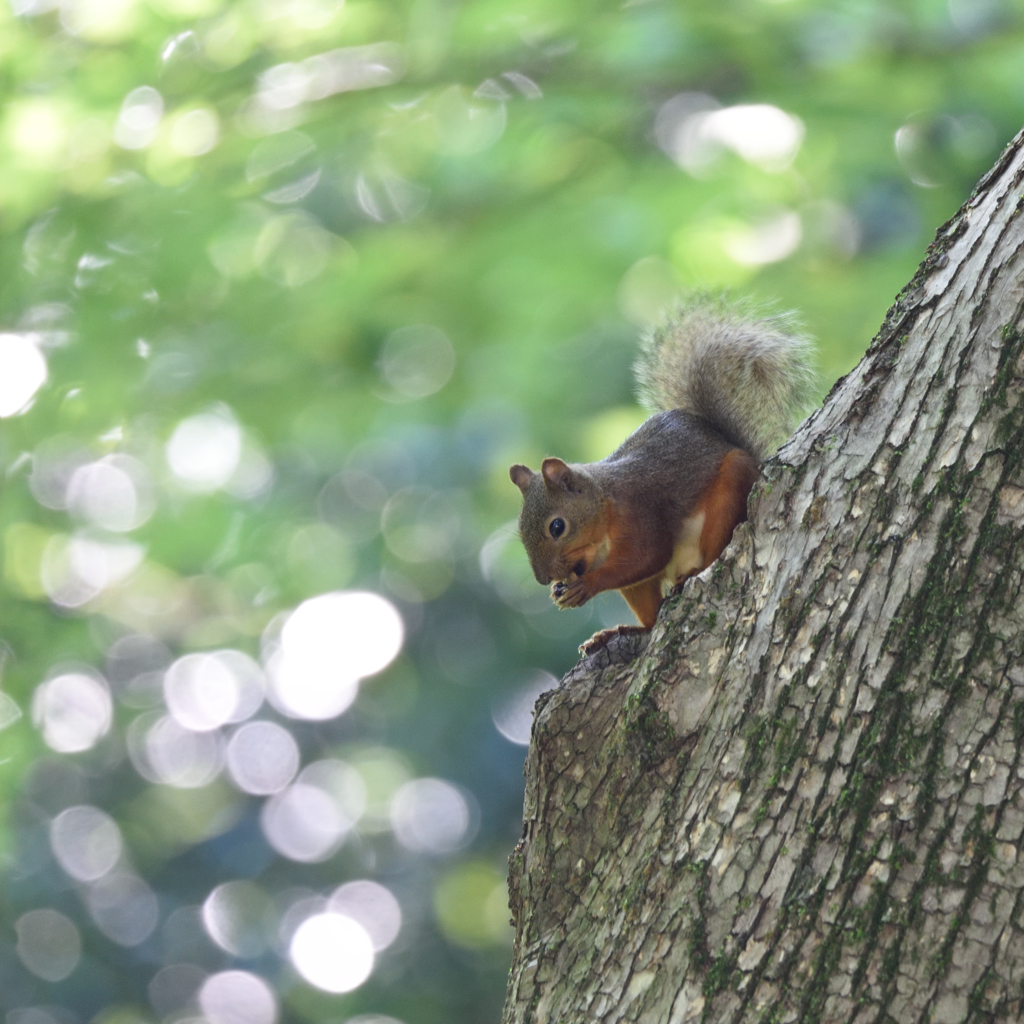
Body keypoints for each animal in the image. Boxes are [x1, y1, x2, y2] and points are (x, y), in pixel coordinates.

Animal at [507, 292, 811, 651]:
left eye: (557, 527)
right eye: (521, 531)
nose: (543, 579)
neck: (605, 510)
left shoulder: (641, 513)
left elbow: (648, 556)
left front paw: (589, 585)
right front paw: (562, 589)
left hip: (730, 488)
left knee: (713, 550)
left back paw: (692, 572)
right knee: (652, 619)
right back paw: (621, 632)